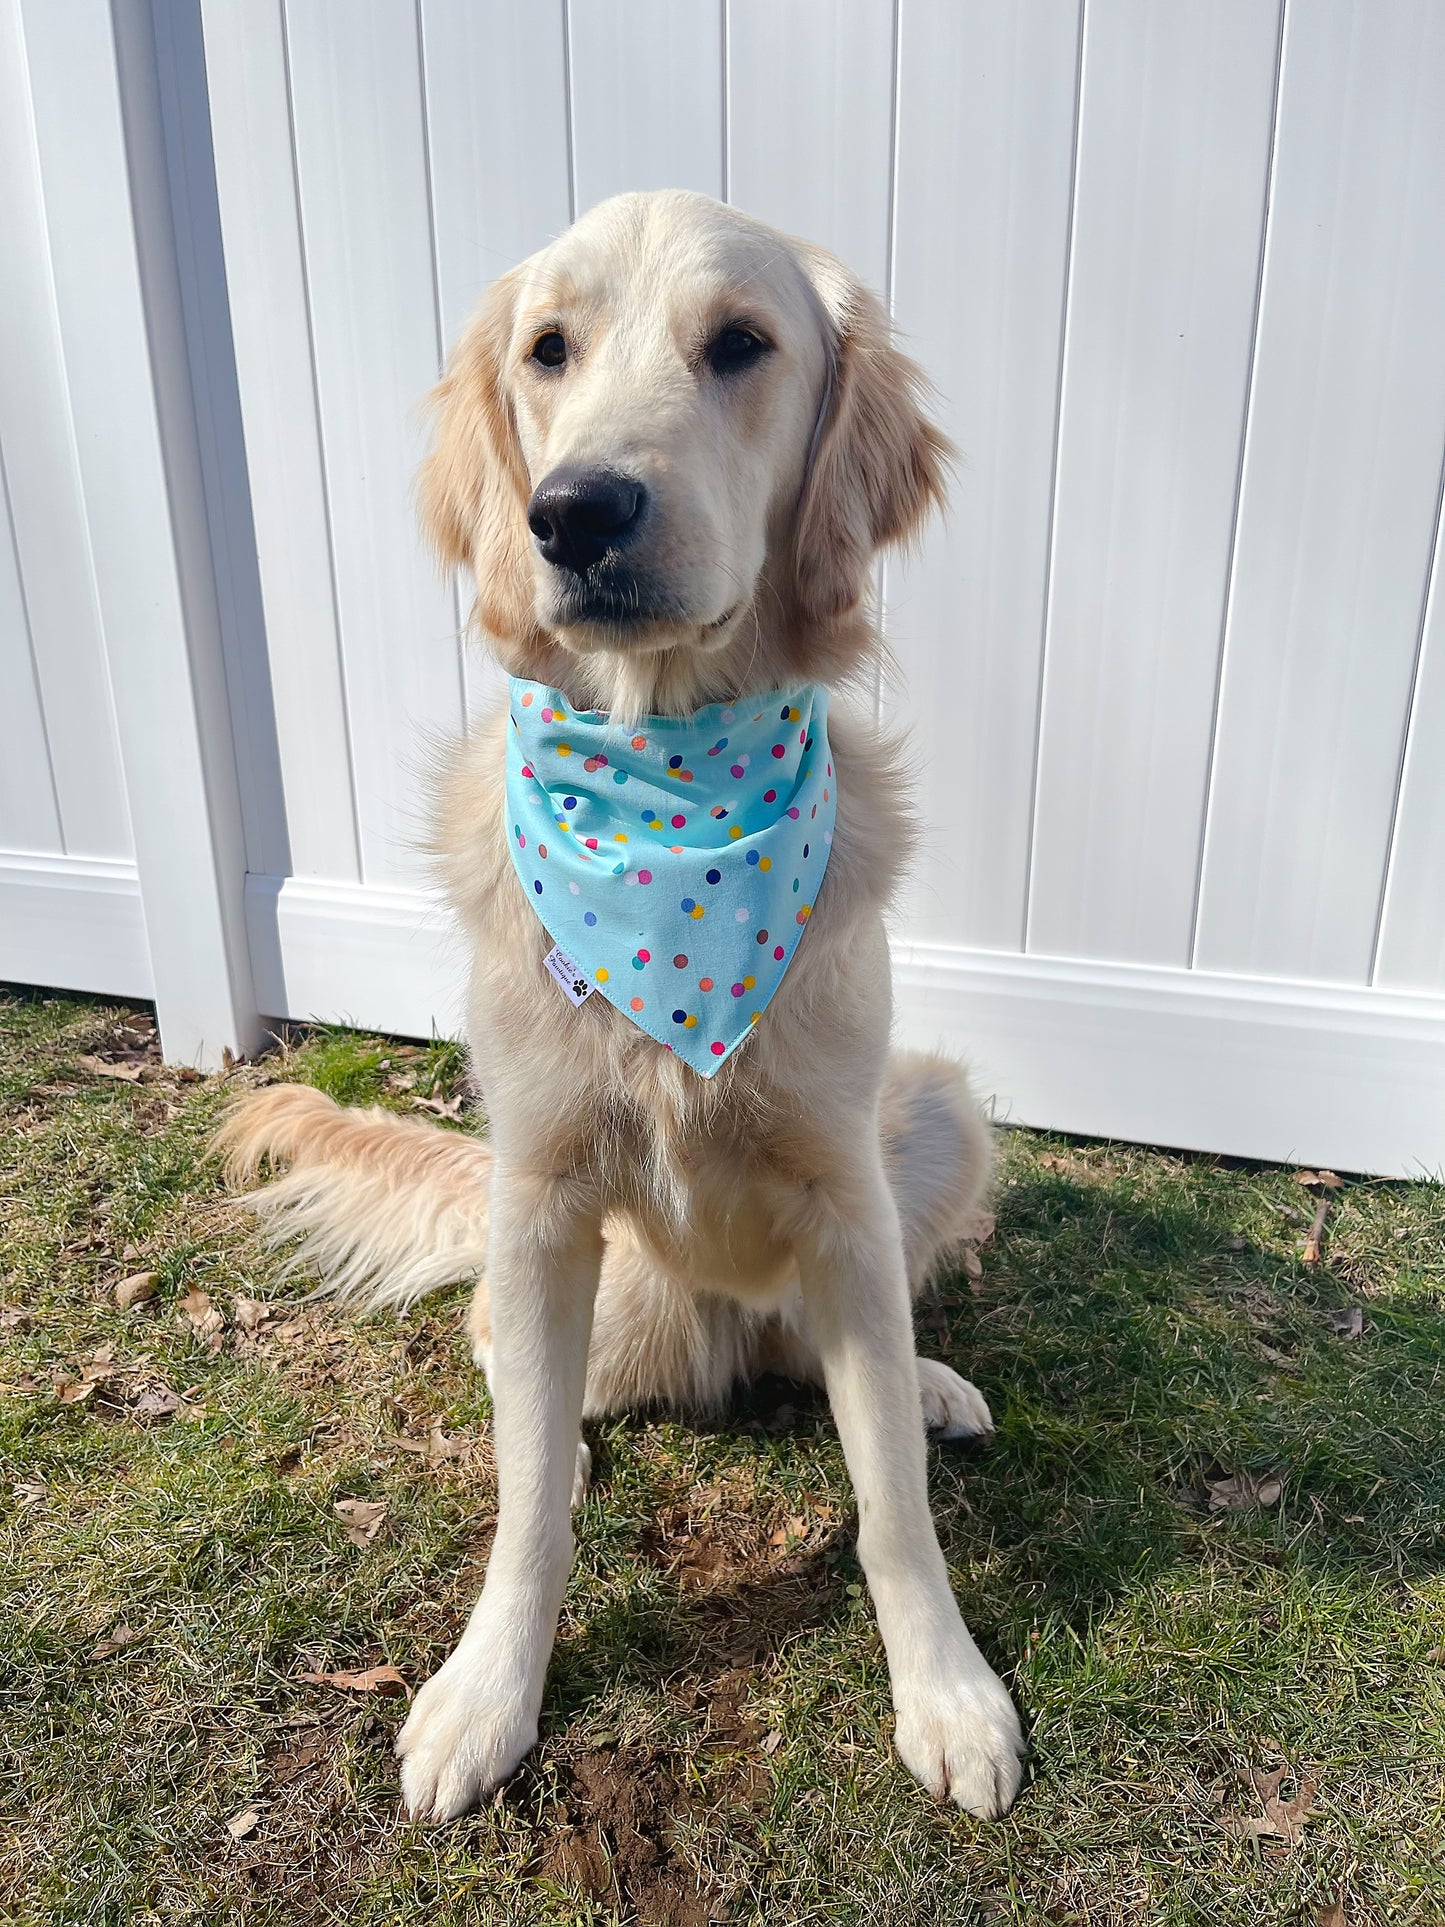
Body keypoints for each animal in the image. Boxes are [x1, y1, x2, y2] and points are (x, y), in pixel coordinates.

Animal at [217, 191, 1032, 1819]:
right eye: (548, 349)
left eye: (742, 344)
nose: (575, 514)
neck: (667, 793)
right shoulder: (538, 1194)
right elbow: (527, 1505)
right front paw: (490, 1687)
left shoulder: (844, 1192)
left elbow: (890, 1510)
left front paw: (946, 1688)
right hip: (592, 1280)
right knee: (510, 1365)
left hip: (930, 1105)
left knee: (829, 1356)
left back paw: (912, 1381)